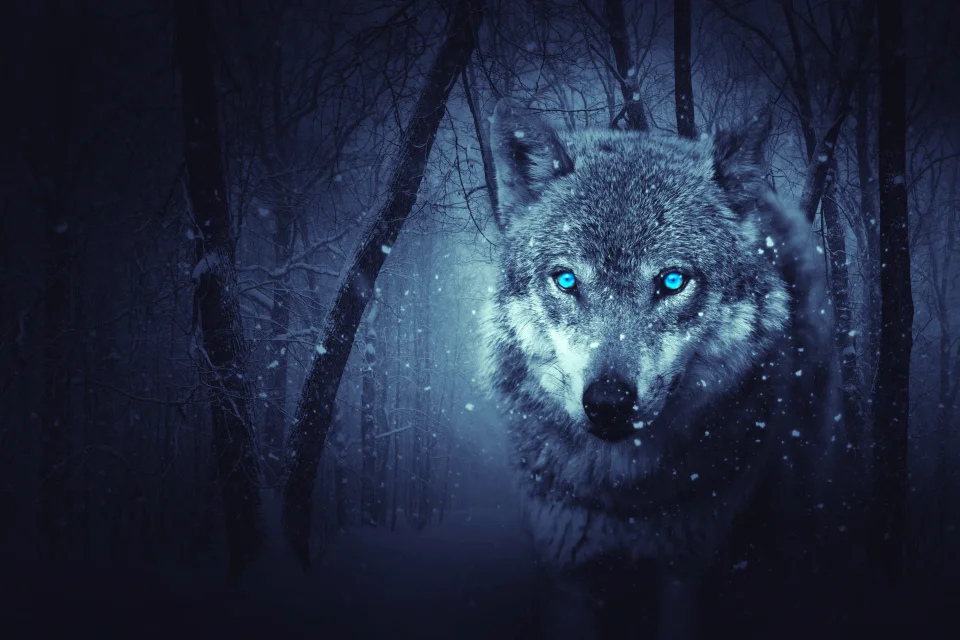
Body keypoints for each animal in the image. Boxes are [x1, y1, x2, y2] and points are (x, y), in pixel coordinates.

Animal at [480, 98, 840, 639]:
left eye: (672, 281)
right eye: (566, 280)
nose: (608, 402)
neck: (624, 497)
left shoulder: (685, 574)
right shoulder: (568, 575)